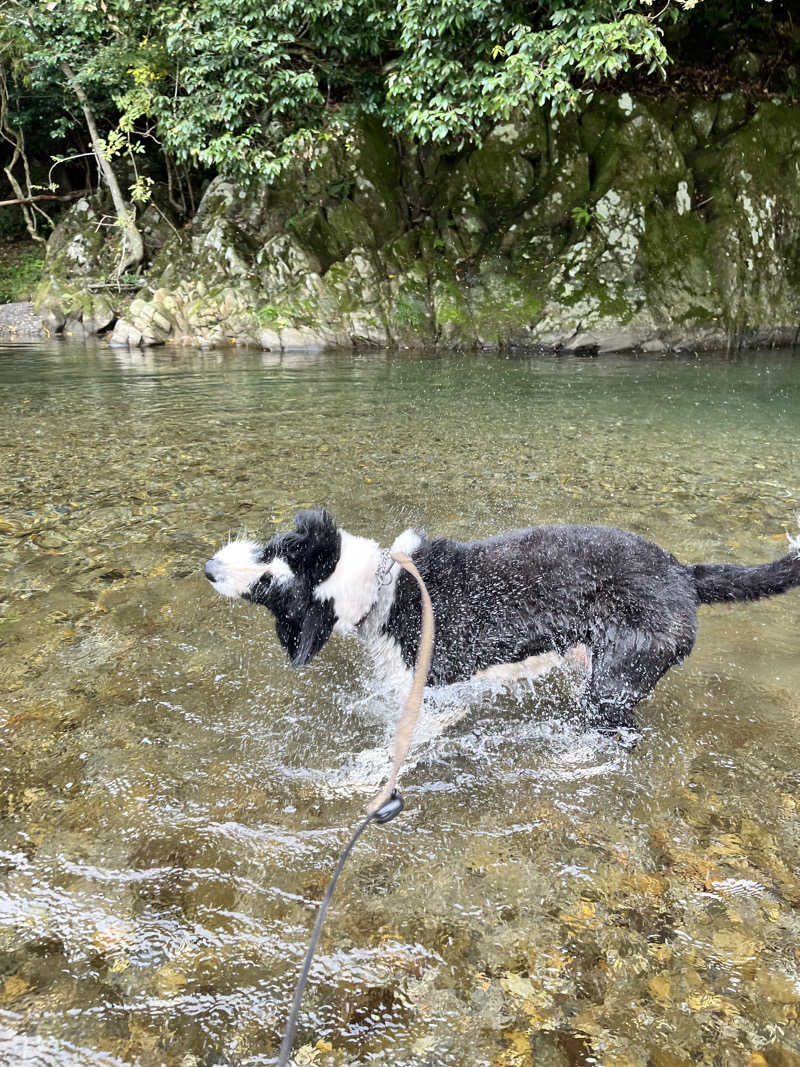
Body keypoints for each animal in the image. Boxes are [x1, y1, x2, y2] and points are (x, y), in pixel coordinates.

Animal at [204, 512, 800, 729]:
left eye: (268, 583)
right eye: (271, 546)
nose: (209, 569)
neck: (382, 588)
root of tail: (684, 573)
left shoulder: (430, 688)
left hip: (616, 678)